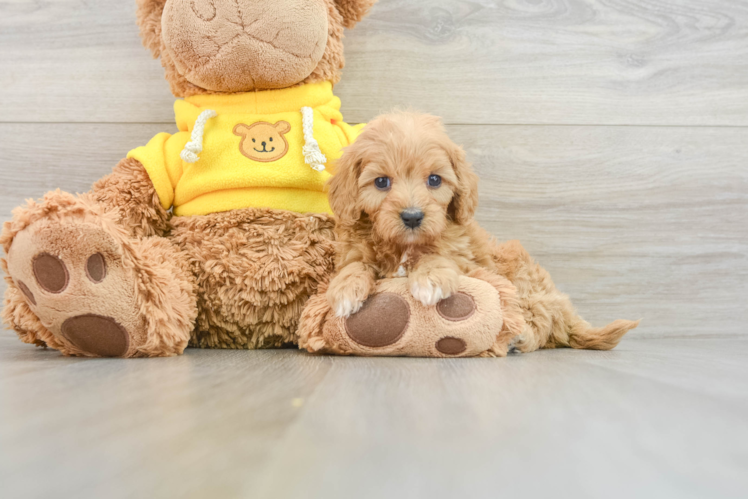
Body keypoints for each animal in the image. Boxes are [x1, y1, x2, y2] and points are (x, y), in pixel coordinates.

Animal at [326, 110, 636, 352]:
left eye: (434, 180)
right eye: (381, 182)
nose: (412, 217)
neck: (404, 245)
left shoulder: (467, 260)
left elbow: (438, 257)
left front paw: (430, 277)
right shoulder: (354, 250)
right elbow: (356, 265)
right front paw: (345, 289)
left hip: (521, 274)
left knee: (543, 322)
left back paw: (519, 338)